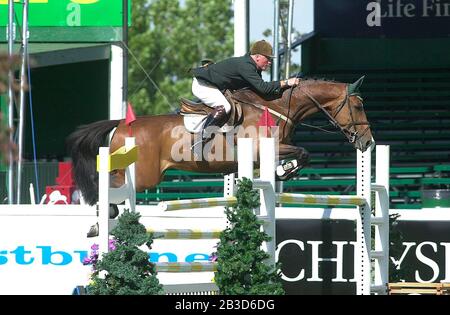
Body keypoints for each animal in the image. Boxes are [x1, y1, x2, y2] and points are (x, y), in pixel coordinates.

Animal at [67, 76, 374, 205]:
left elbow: (302, 154)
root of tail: (121, 124)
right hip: (141, 176)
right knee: (108, 186)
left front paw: (283, 171)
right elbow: (303, 152)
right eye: (359, 106)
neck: (277, 107)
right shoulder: (264, 150)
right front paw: (284, 170)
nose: (368, 143)